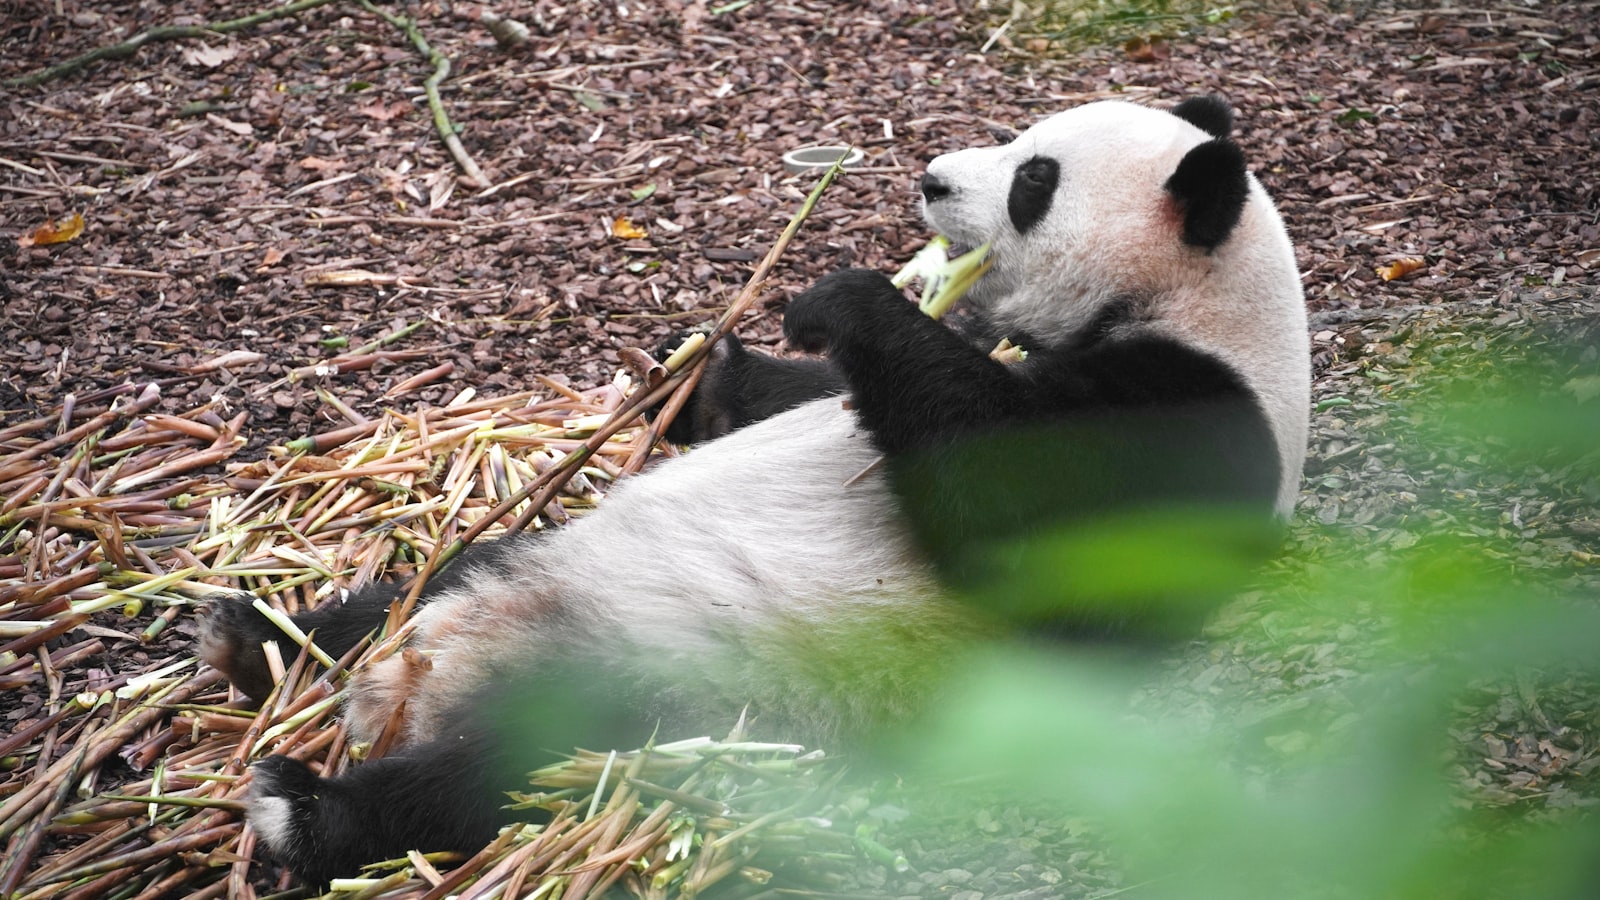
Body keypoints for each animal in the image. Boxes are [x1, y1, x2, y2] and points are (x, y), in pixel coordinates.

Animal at [198, 95, 1310, 885]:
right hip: (521, 561)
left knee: (511, 768)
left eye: (1034, 178)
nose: (933, 180)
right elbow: (797, 398)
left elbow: (1026, 516)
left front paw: (846, 297)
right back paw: (256, 639)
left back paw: (305, 813)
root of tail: (427, 681)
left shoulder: (1195, 423)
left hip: (679, 697)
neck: (1198, 305)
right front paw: (699, 366)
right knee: (412, 592)